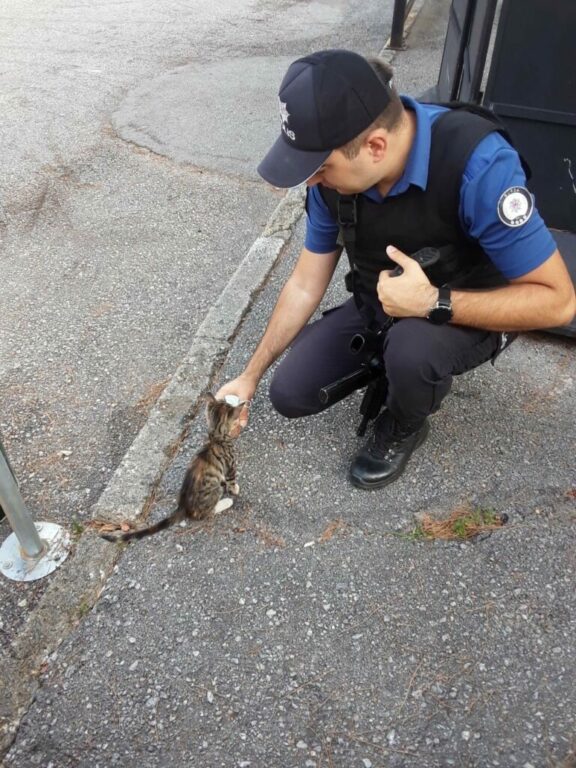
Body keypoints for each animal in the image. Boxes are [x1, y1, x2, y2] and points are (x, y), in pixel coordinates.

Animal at [102, 392, 244, 544]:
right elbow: (231, 480)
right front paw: (235, 489)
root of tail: (183, 507)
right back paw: (225, 502)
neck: (216, 436)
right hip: (214, 491)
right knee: (204, 513)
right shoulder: (230, 465)